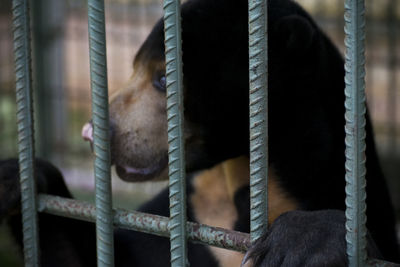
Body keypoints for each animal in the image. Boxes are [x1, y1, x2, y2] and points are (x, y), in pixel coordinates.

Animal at [0, 0, 400, 266]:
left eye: (163, 78)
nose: (94, 132)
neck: (231, 181)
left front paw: (304, 242)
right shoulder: (189, 213)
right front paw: (19, 175)